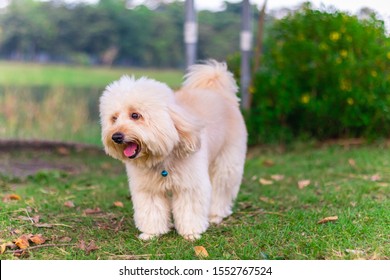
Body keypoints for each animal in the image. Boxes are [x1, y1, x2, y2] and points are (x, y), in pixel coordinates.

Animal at [100, 59, 247, 241]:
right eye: (114, 118)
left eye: (135, 115)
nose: (116, 137)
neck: (163, 159)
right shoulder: (148, 189)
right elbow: (152, 210)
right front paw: (152, 233)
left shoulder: (190, 186)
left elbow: (189, 210)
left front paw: (191, 232)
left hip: (226, 163)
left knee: (221, 188)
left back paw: (215, 214)